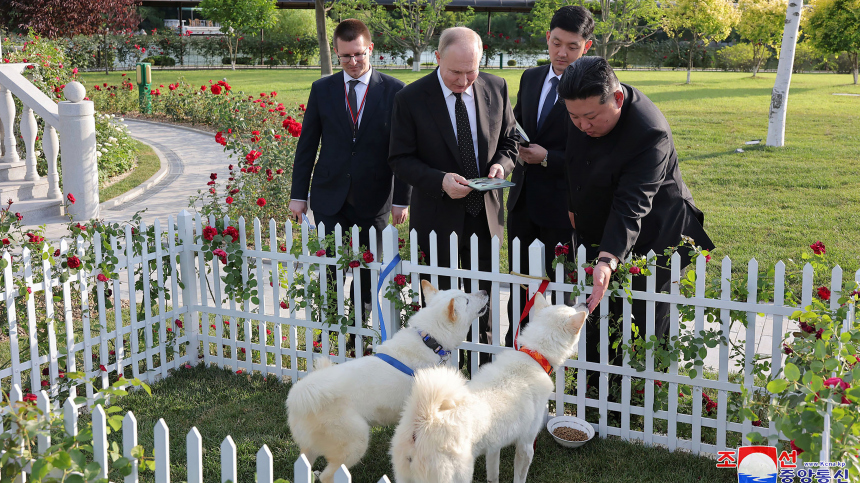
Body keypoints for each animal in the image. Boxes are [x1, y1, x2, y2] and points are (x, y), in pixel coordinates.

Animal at [286, 280, 488, 483]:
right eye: (467, 300)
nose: (485, 291)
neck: (430, 340)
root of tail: (299, 396)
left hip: (312, 447)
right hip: (356, 441)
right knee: (328, 475)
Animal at [394, 294, 588, 483]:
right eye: (571, 308)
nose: (586, 303)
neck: (534, 356)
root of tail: (425, 420)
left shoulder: (494, 446)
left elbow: (493, 474)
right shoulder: (526, 445)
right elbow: (520, 477)